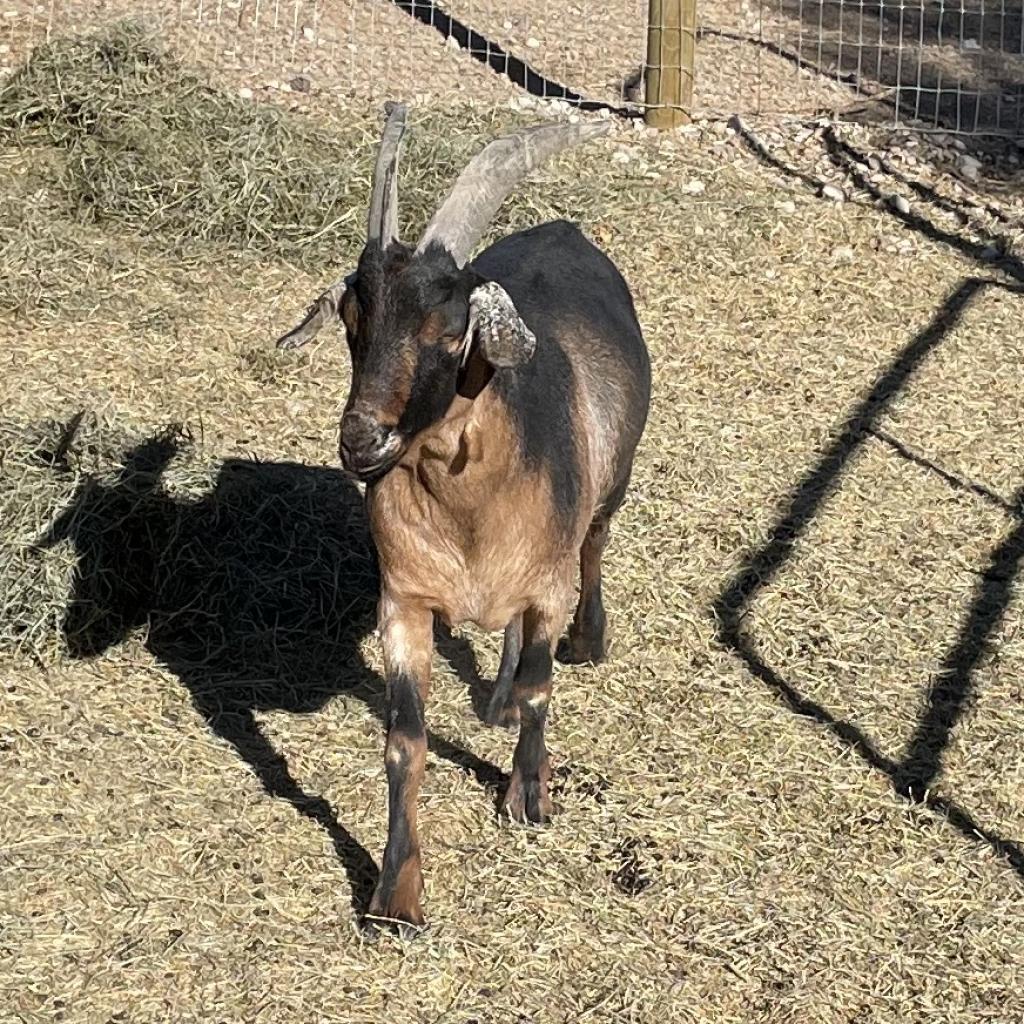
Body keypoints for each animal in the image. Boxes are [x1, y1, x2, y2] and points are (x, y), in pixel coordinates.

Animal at [277, 103, 651, 934]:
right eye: (353, 318)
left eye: (451, 332)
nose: (362, 440)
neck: (472, 516)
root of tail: (566, 229)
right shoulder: (404, 601)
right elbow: (404, 740)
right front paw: (395, 896)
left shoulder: (546, 586)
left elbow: (544, 687)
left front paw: (527, 798)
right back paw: (498, 699)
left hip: (607, 490)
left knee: (596, 545)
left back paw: (587, 644)